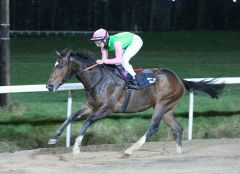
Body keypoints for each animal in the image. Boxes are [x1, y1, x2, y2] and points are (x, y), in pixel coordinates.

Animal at [46, 49, 225, 155]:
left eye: (60, 66)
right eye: (54, 65)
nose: (49, 86)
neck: (98, 79)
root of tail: (180, 79)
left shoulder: (107, 109)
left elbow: (87, 122)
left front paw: (76, 147)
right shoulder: (91, 106)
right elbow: (71, 116)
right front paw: (53, 138)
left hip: (162, 105)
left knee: (153, 127)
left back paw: (130, 149)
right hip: (166, 108)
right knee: (178, 128)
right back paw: (178, 152)